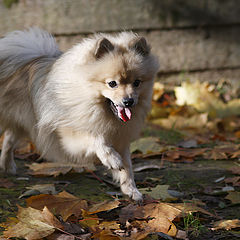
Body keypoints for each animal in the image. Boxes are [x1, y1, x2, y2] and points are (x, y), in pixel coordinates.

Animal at [0, 28, 159, 201]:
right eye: (112, 84)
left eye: (137, 83)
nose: (128, 101)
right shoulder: (70, 135)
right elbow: (96, 139)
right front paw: (111, 158)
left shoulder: (120, 138)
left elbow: (127, 168)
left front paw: (131, 190)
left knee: (9, 138)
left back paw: (7, 165)